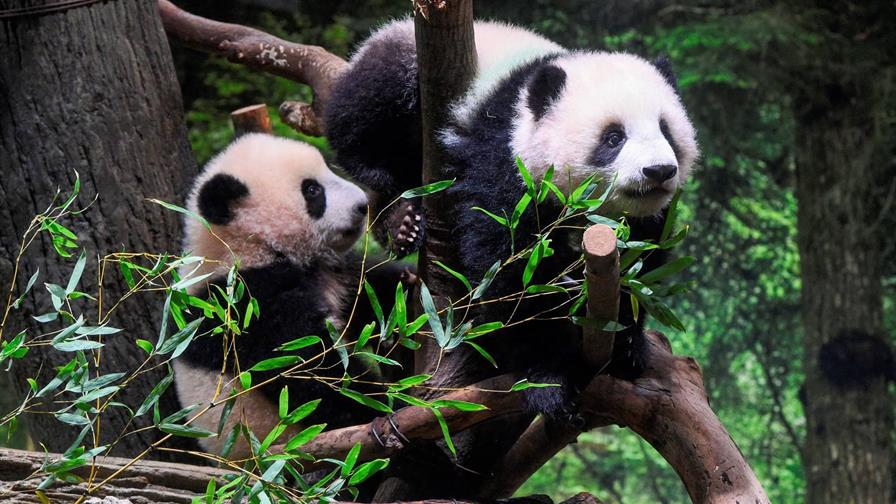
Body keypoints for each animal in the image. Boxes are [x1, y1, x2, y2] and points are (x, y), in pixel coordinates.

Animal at [172, 133, 404, 460]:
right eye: (312, 190)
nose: (362, 205)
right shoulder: (246, 305)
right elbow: (308, 370)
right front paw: (386, 408)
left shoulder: (333, 273)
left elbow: (371, 294)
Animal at [324, 20, 699, 421]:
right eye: (614, 137)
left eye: (666, 130)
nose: (659, 171)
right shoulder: (504, 158)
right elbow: (509, 271)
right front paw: (548, 374)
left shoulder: (644, 222)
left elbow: (642, 264)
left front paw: (627, 345)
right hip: (402, 61)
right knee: (365, 109)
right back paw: (397, 210)